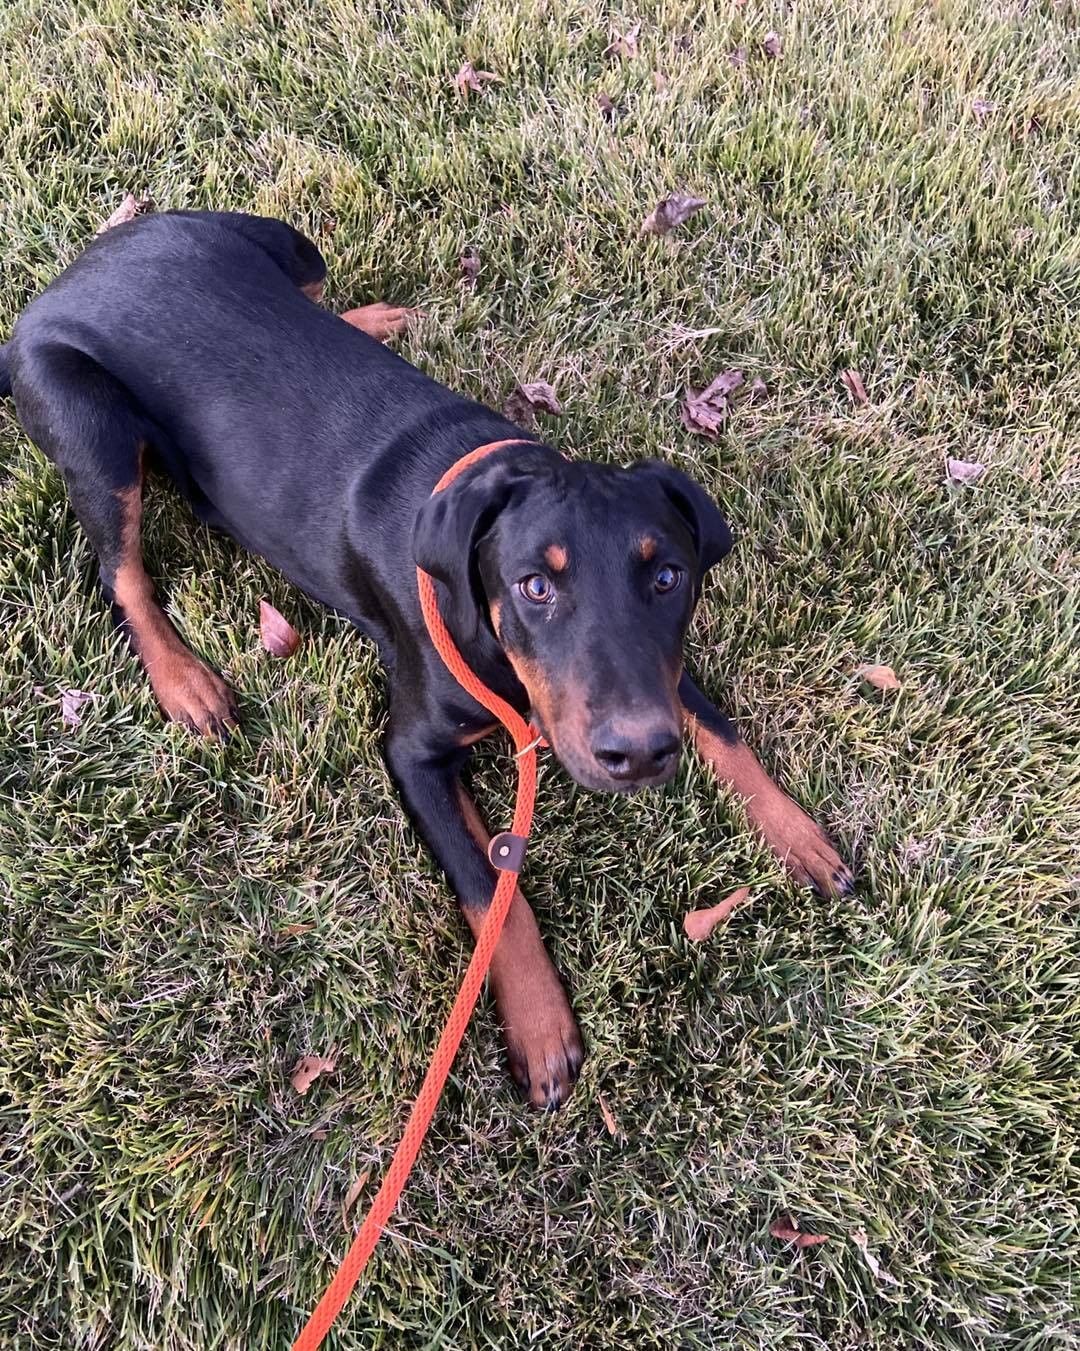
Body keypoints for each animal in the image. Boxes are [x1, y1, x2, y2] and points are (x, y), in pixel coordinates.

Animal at [4, 208, 859, 1107]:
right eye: (534, 585)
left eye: (668, 576)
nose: (638, 756)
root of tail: (70, 276)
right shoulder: (412, 752)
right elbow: (490, 886)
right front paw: (542, 1030)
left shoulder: (656, 672)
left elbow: (722, 729)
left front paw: (802, 839)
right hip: (91, 425)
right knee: (122, 572)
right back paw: (186, 684)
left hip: (285, 241)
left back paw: (376, 319)